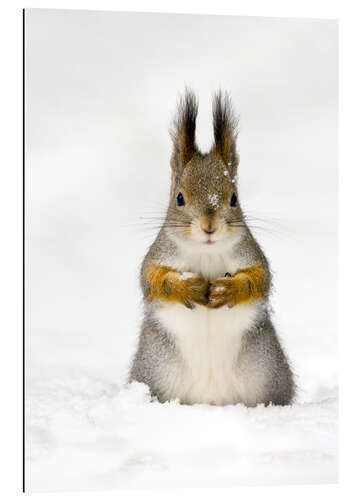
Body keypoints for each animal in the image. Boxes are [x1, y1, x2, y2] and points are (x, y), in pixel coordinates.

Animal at [129, 92, 294, 408]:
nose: (209, 227)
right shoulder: (159, 253)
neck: (205, 252)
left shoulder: (251, 253)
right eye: (179, 198)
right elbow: (151, 279)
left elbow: (260, 279)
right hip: (154, 368)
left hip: (267, 370)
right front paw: (186, 287)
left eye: (234, 198)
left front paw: (229, 290)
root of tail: (211, 401)